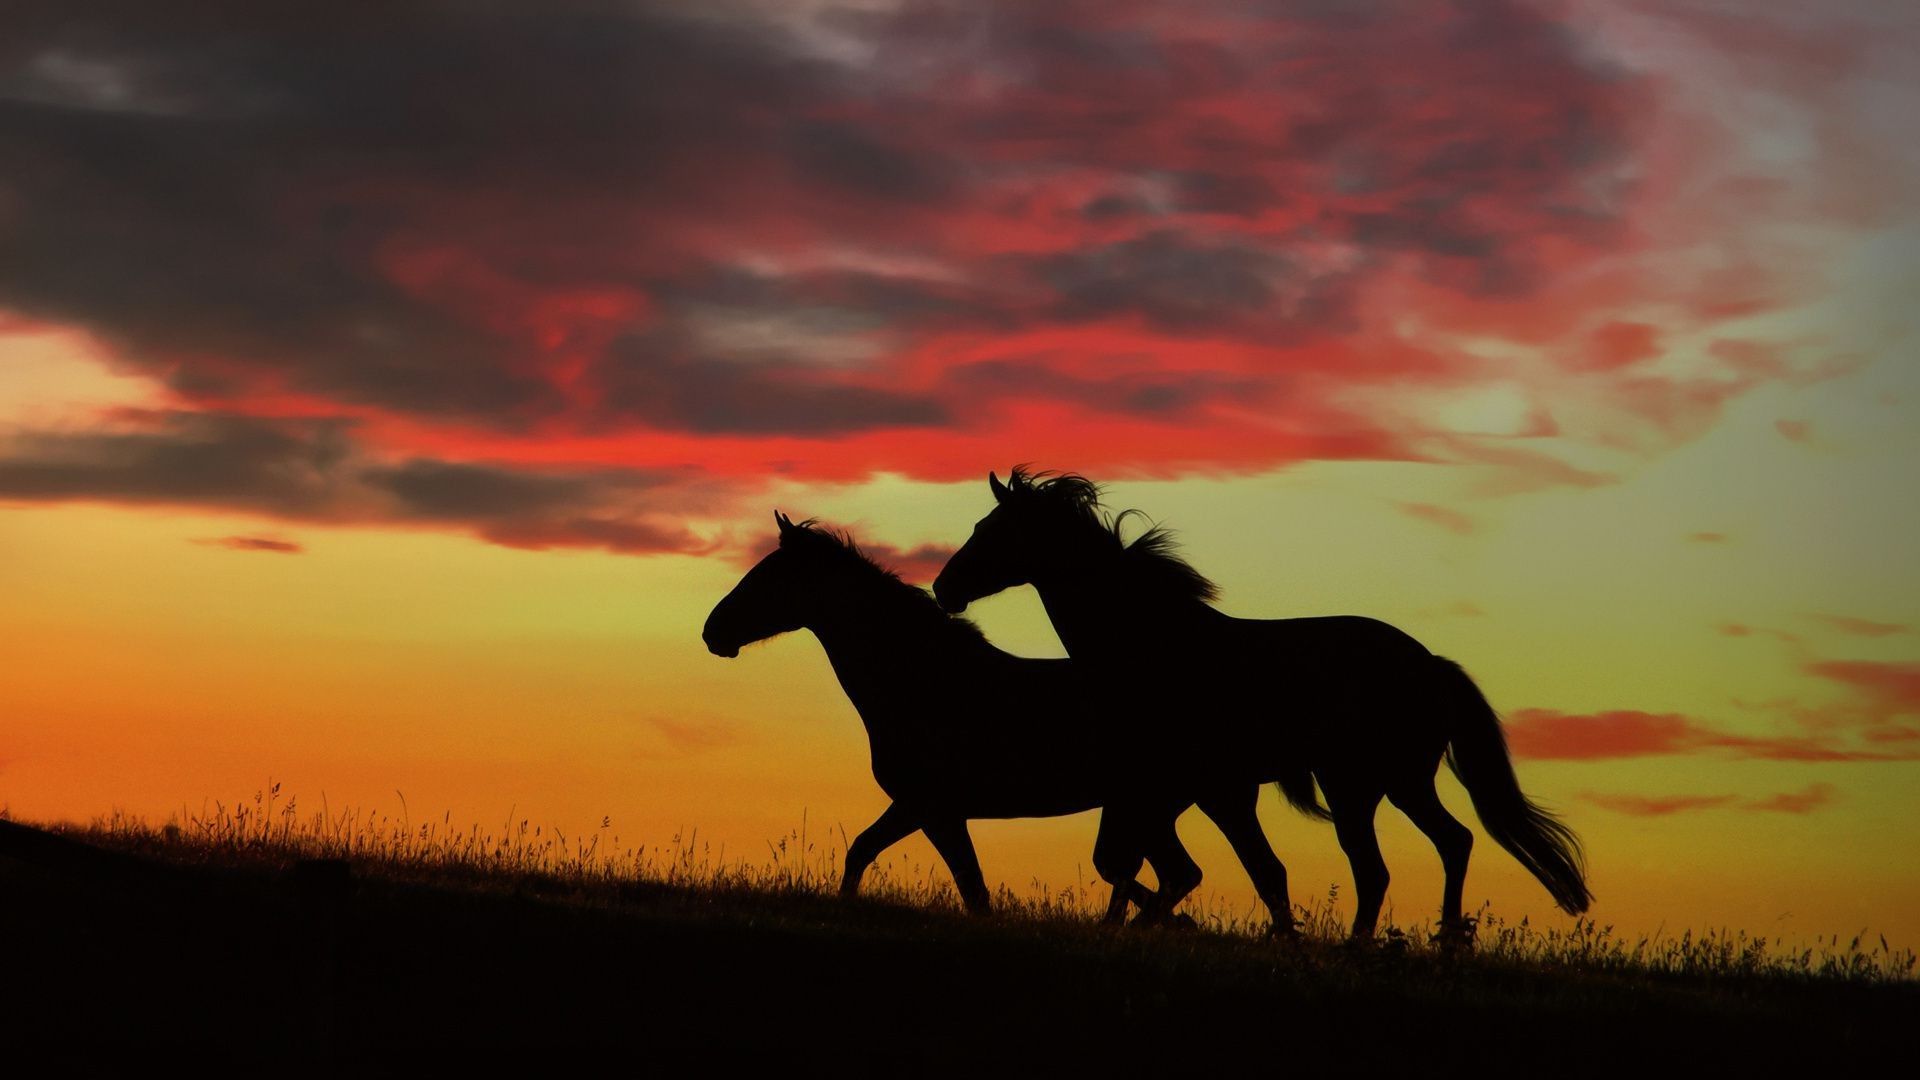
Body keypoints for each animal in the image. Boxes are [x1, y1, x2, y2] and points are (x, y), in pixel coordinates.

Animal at [702, 511, 1206, 922]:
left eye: (769, 577)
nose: (712, 631)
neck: (927, 681)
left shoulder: (933, 809)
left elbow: (972, 890)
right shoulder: (920, 808)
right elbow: (863, 852)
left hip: (1147, 807)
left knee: (1164, 874)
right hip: (1150, 811)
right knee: (1164, 874)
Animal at [931, 469, 1592, 941]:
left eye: (991, 530)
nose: (943, 588)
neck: (1155, 647)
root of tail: (1430, 664)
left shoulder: (1202, 789)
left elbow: (1224, 871)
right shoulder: (1182, 791)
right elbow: (1193, 870)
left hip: (1367, 783)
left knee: (1396, 860)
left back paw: (1389, 944)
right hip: (1387, 784)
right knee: (1440, 846)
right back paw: (1439, 940)